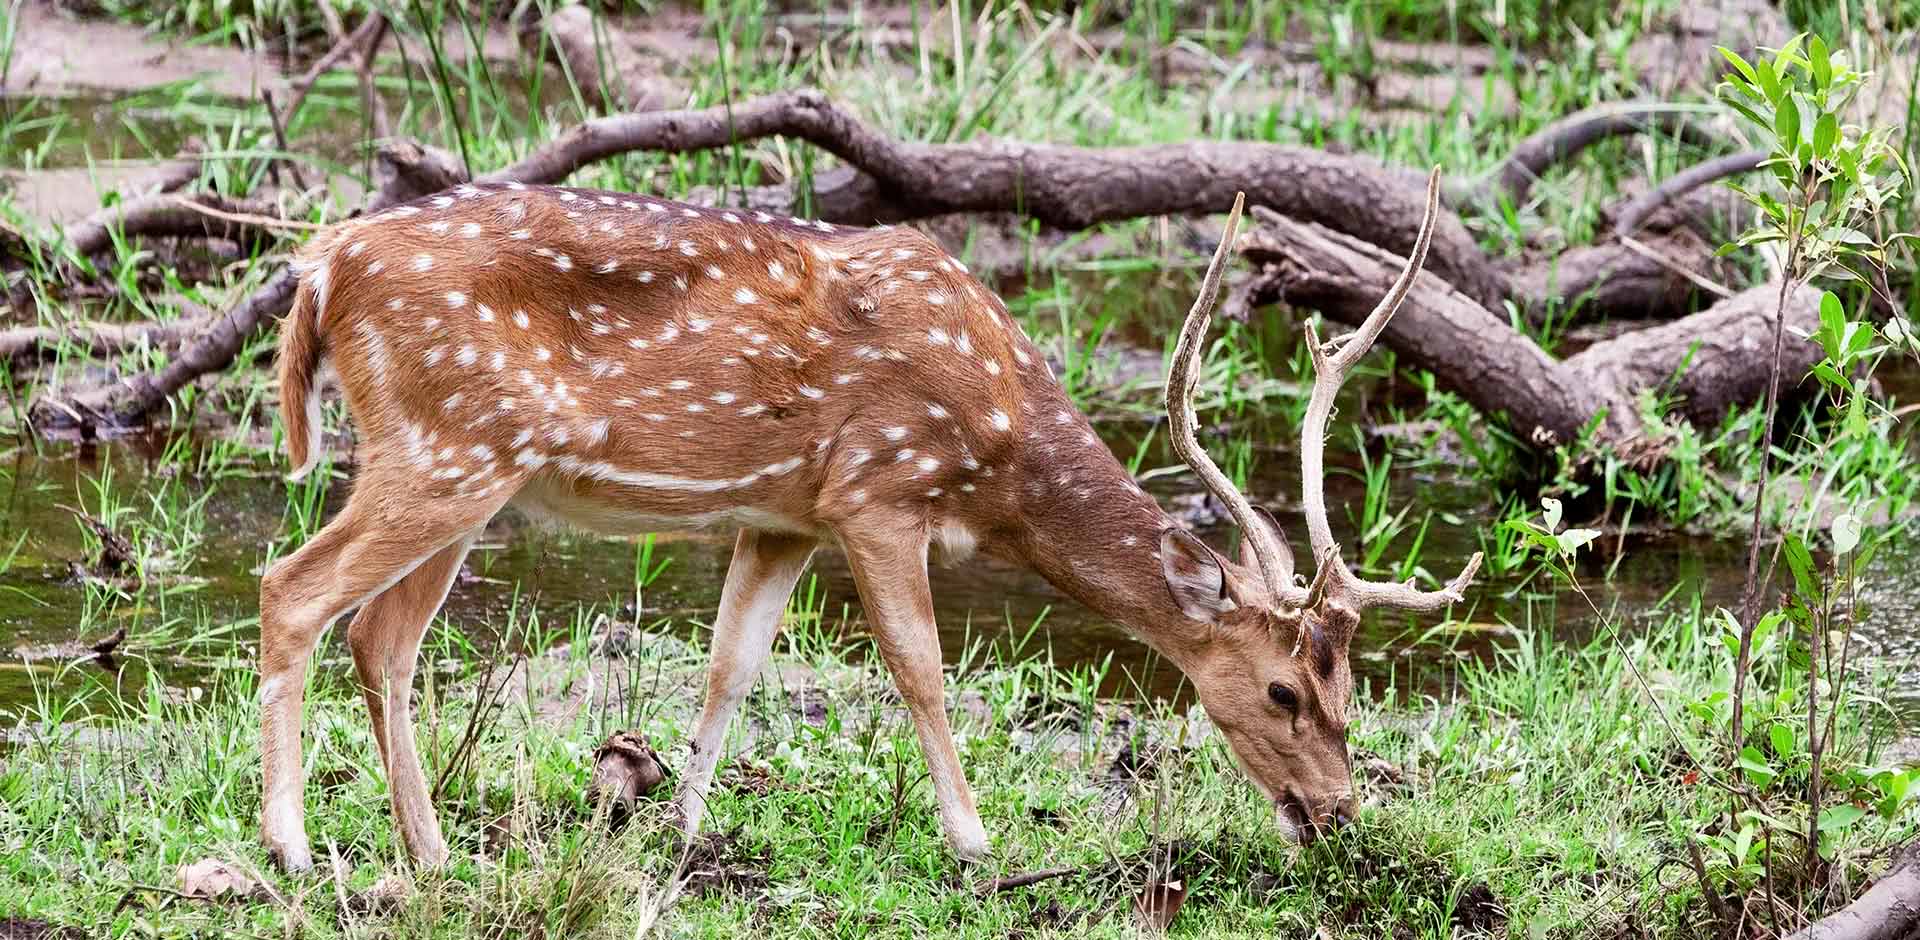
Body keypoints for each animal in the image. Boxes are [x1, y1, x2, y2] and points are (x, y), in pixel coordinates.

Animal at [263, 170, 1474, 874]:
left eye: (1351, 694)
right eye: (1282, 691)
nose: (1336, 814)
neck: (999, 456)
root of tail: (318, 268)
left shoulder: (785, 514)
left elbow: (731, 661)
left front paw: (682, 829)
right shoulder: (878, 489)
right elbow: (920, 667)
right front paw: (973, 839)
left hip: (470, 469)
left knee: (380, 639)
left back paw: (430, 853)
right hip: (449, 448)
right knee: (293, 590)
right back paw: (291, 845)